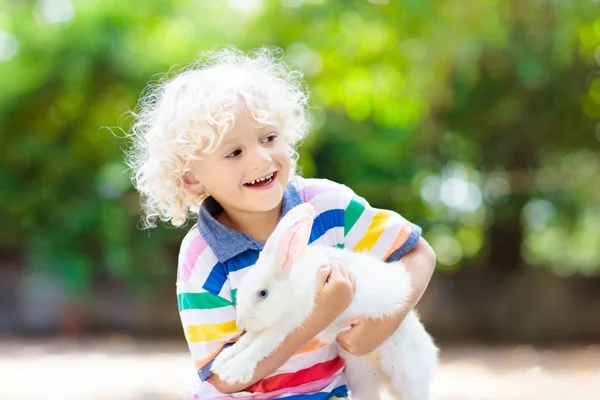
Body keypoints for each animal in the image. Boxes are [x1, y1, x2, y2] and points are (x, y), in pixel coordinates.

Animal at [211, 203, 436, 400]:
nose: (240, 323)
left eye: (263, 293)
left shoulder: (286, 326)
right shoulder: (267, 327)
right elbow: (245, 342)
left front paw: (233, 371)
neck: (293, 285)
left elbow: (261, 346)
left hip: (409, 378)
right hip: (362, 377)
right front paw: (220, 363)